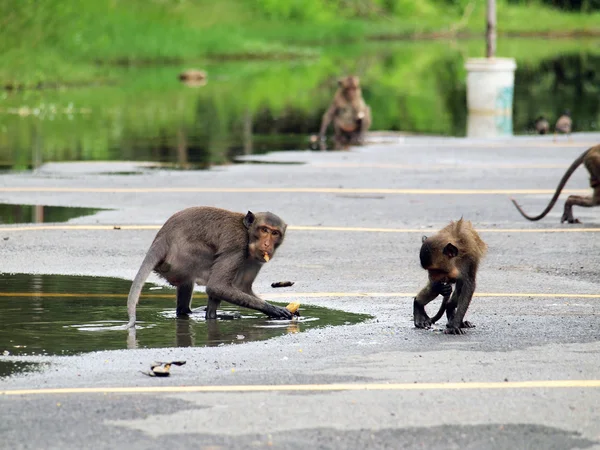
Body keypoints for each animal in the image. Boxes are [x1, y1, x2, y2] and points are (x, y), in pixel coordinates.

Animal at [126, 206, 292, 328]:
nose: (267, 244)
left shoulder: (256, 259)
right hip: (184, 258)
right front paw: (273, 309)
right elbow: (217, 286)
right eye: (264, 230)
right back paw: (212, 316)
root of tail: (161, 238)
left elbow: (243, 287)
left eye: (275, 233)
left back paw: (190, 312)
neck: (247, 233)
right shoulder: (237, 246)